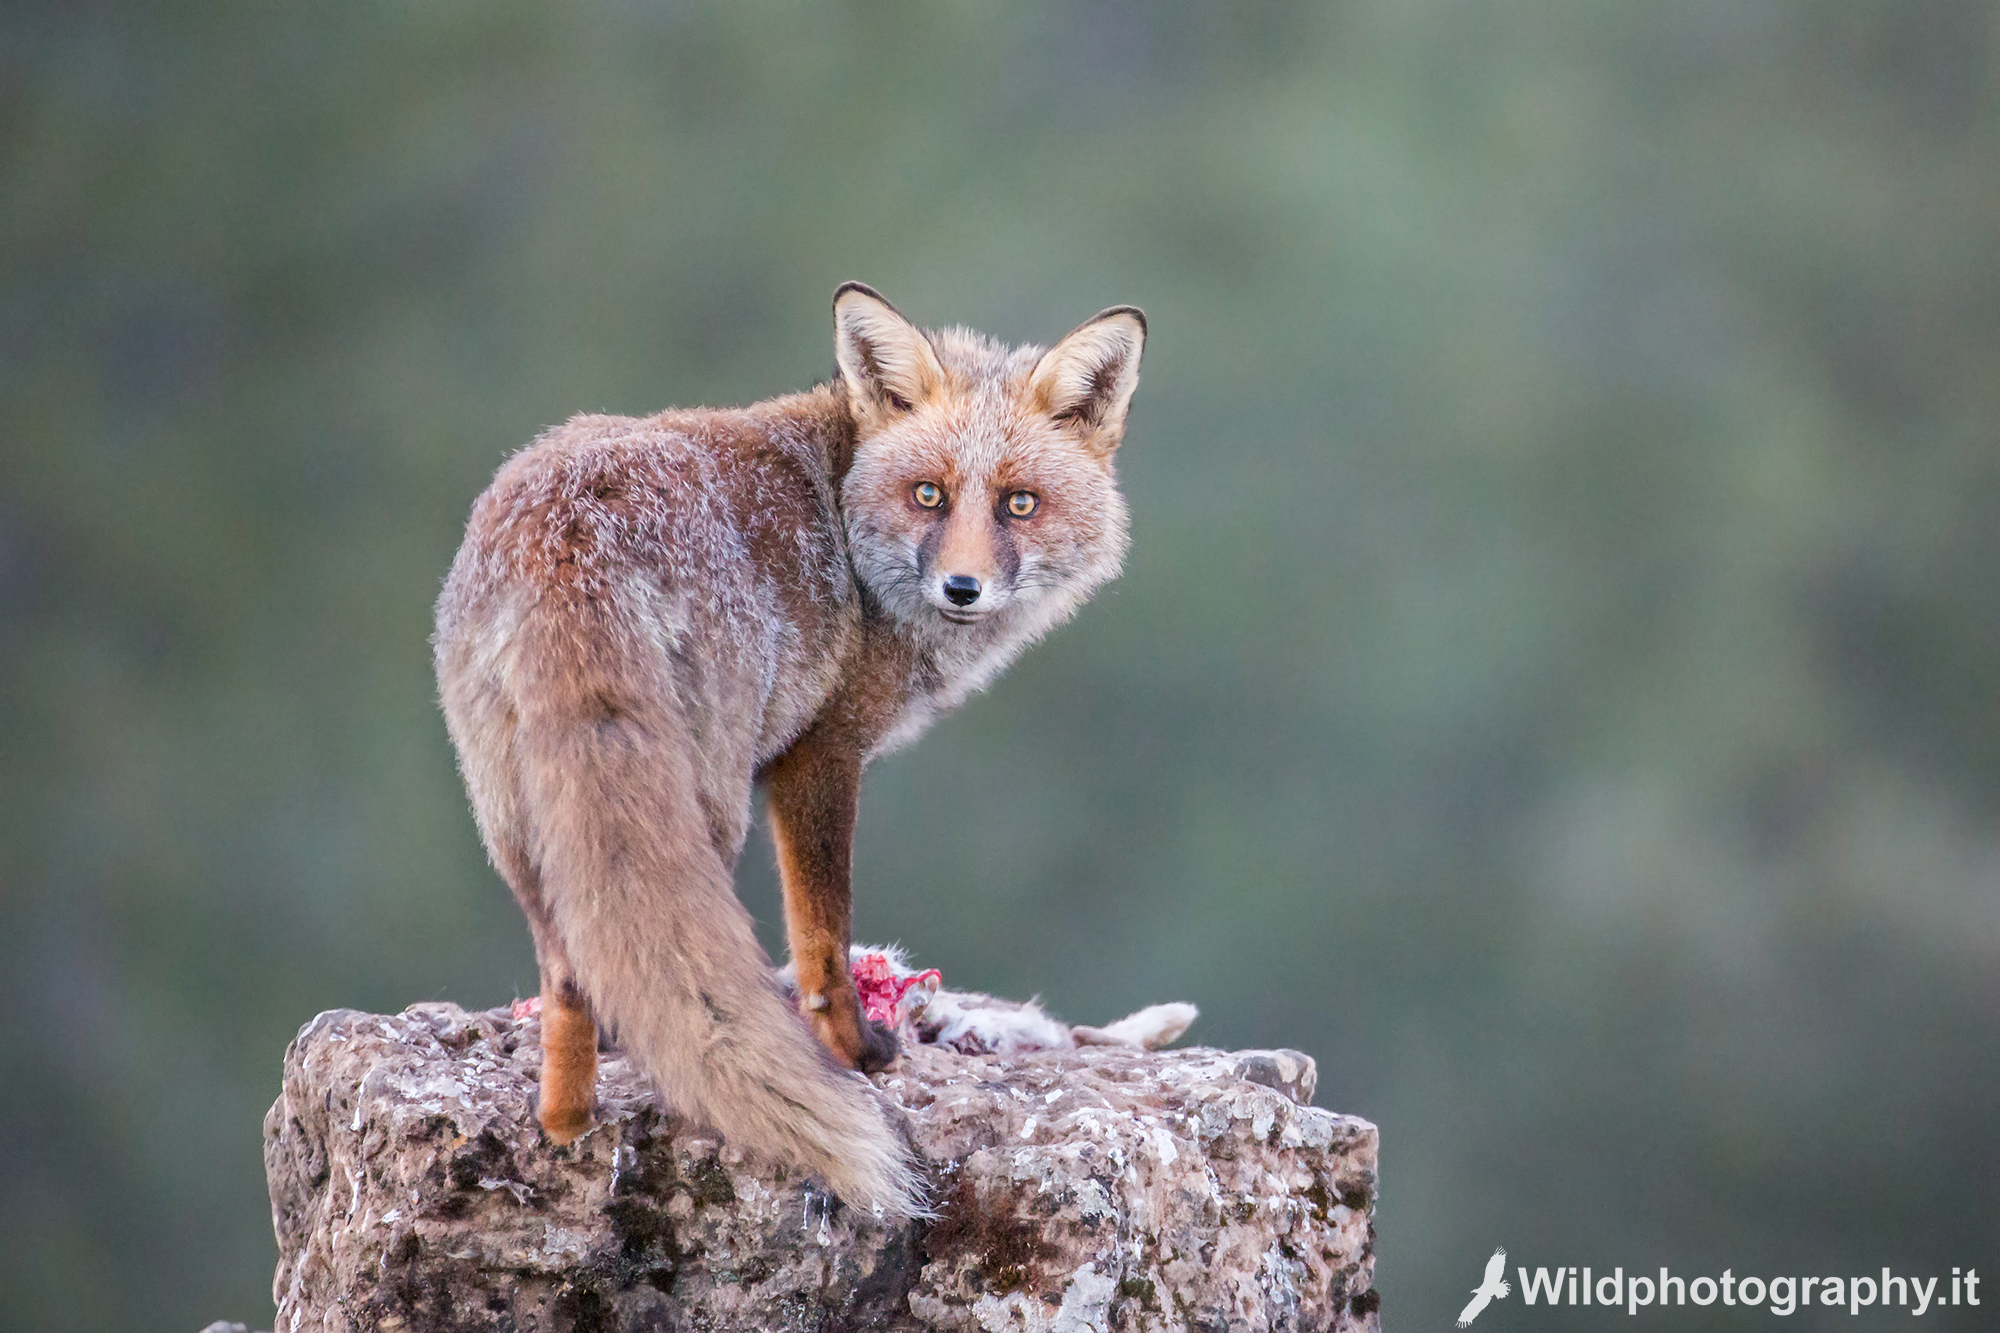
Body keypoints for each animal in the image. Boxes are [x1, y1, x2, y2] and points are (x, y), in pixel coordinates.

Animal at [432, 283, 1145, 1219]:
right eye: (929, 494)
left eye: (1019, 503)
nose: (962, 588)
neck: (847, 518)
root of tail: (571, 529)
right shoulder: (820, 753)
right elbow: (823, 935)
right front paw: (855, 1048)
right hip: (706, 801)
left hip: (516, 815)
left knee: (569, 971)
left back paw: (565, 1122)